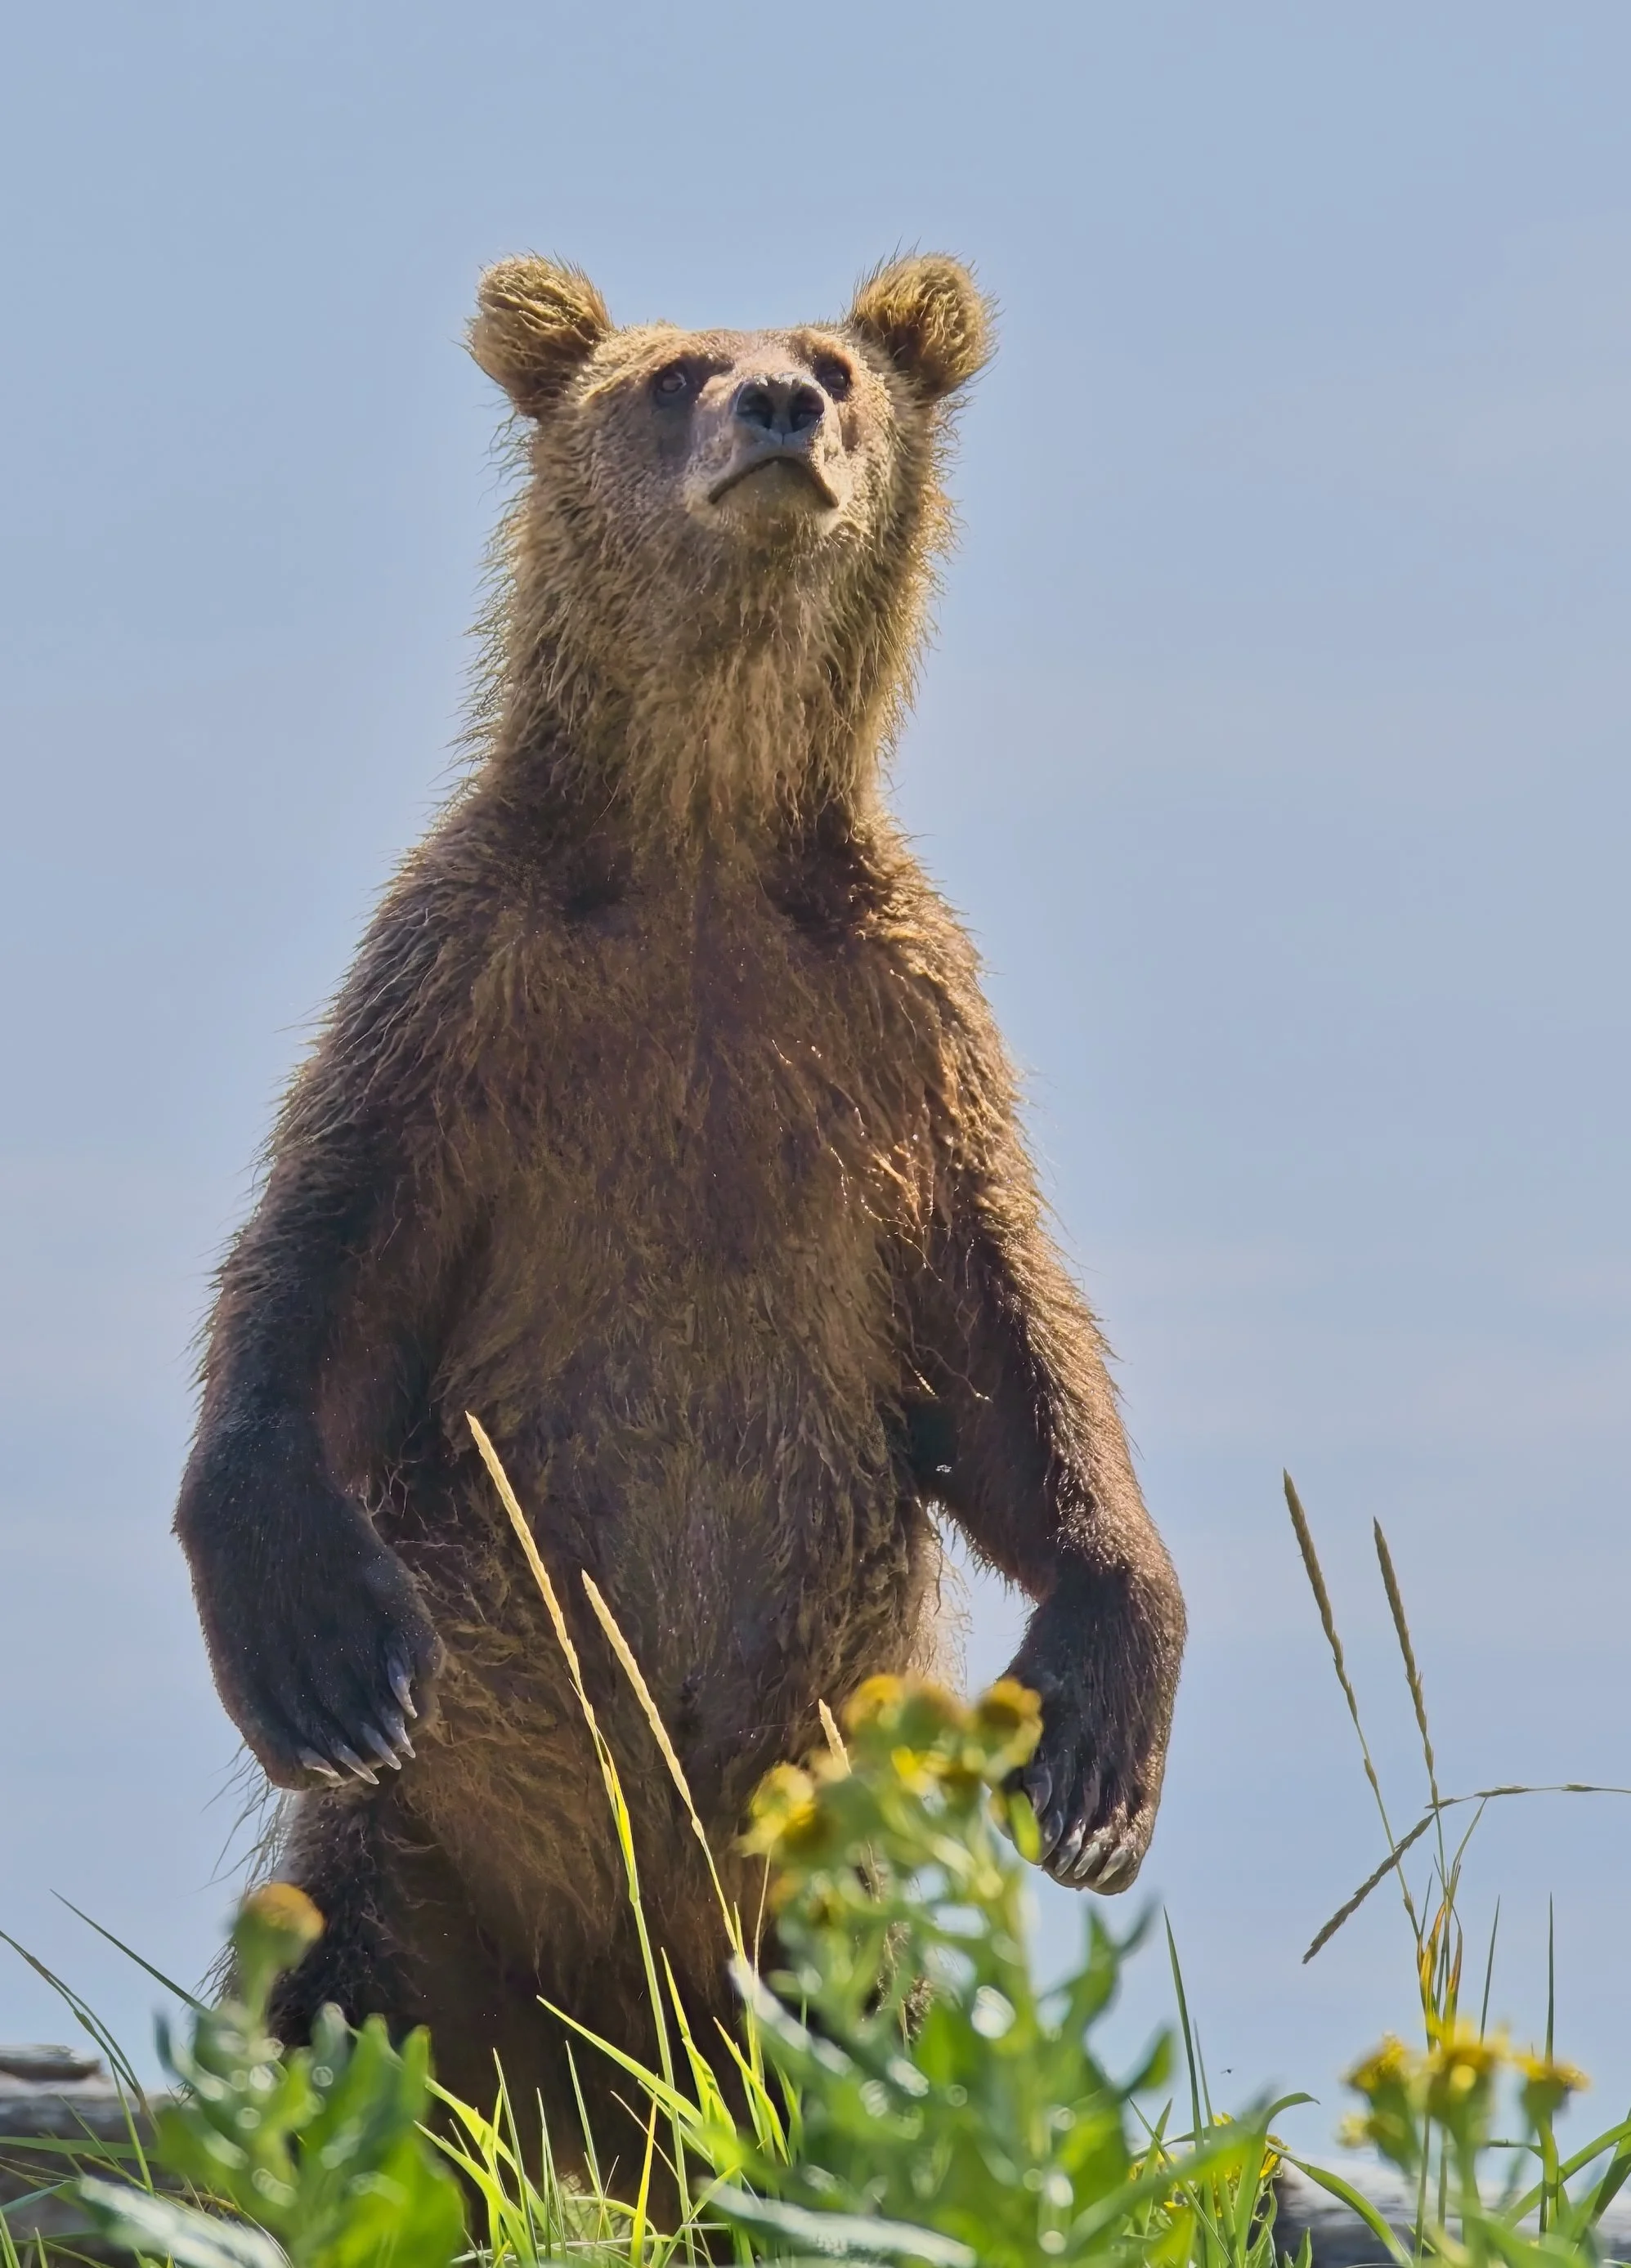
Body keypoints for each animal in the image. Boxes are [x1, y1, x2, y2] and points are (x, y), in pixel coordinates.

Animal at [174, 252, 1186, 2163]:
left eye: (838, 371)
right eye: (672, 374)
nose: (779, 411)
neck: (701, 838)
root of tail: (607, 2064)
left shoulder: (896, 1043)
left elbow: (1015, 1360)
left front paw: (1095, 1749)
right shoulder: (466, 1005)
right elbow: (321, 1280)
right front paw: (328, 1654)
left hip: (821, 1914)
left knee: (875, 2076)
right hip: (422, 1884)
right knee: (347, 2032)